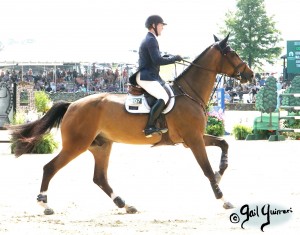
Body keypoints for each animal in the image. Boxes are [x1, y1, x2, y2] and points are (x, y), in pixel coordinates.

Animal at [8, 33, 253, 215]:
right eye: (233, 53)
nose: (250, 74)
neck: (189, 93)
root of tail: (72, 105)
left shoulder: (193, 138)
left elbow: (223, 143)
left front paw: (221, 171)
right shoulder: (193, 139)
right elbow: (207, 169)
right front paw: (223, 198)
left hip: (101, 145)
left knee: (100, 178)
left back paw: (125, 204)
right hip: (76, 145)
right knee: (50, 168)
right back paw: (44, 204)